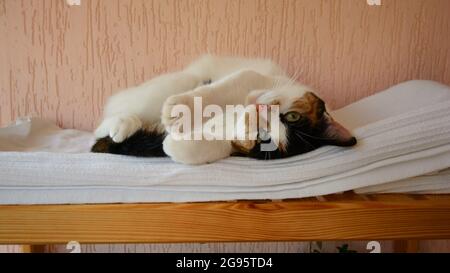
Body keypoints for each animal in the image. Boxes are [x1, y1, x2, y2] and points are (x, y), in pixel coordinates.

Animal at [91, 54, 356, 163]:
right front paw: (180, 112)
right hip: (170, 85)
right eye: (292, 117)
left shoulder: (234, 143)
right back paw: (123, 124)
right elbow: (222, 89)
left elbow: (216, 147)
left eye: (265, 138)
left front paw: (174, 145)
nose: (259, 109)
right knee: (106, 120)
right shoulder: (251, 78)